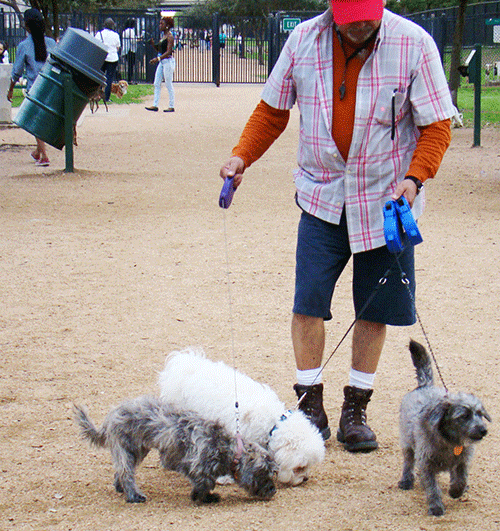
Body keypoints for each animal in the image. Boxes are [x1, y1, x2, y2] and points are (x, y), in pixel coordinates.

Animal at [73, 396, 278, 504]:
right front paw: (203, 497)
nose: (273, 490)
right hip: (127, 450)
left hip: (136, 452)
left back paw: (120, 488)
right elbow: (206, 480)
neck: (226, 447)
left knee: (121, 472)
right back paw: (133, 495)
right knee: (126, 474)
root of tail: (111, 416)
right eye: (264, 473)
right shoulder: (190, 463)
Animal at [398, 338, 492, 516]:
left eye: (479, 413)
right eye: (464, 415)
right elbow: (432, 487)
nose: (483, 430)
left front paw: (456, 491)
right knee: (408, 462)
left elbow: (461, 478)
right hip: (407, 443)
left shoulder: (462, 461)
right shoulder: (426, 462)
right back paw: (406, 480)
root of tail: (425, 385)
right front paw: (436, 506)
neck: (451, 442)